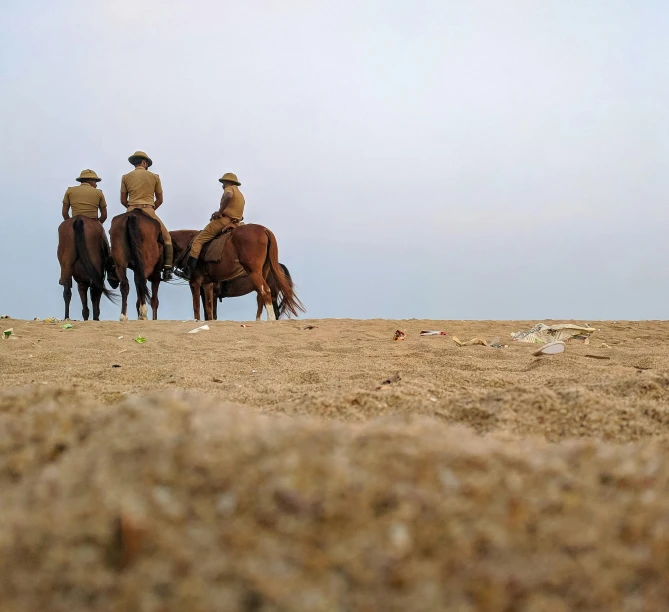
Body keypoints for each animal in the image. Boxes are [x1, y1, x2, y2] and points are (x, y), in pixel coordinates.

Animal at [170, 225, 302, 320]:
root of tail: (264, 230)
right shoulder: (207, 287)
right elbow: (209, 310)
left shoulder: (196, 283)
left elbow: (198, 307)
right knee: (261, 297)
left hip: (264, 284)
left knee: (268, 298)